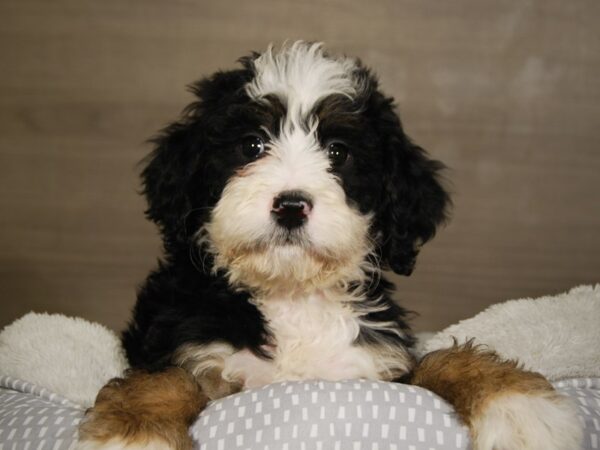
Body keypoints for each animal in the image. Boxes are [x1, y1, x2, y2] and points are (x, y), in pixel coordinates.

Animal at [76, 42, 580, 450]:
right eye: (251, 145)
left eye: (338, 151)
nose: (291, 205)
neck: (292, 296)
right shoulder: (189, 352)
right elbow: (161, 381)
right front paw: (133, 434)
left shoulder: (380, 369)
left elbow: (445, 359)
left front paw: (520, 408)